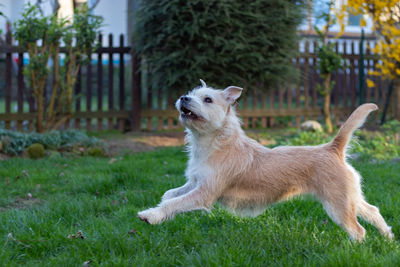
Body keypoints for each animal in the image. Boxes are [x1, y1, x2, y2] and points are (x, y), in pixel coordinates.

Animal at [138, 79, 394, 243]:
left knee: (358, 231)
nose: (183, 98)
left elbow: (175, 203)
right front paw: (158, 206)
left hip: (337, 205)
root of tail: (332, 148)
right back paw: (389, 238)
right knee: (373, 211)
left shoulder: (205, 192)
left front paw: (151, 215)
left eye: (207, 99)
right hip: (350, 198)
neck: (214, 143)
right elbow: (171, 195)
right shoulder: (196, 182)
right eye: (190, 93)